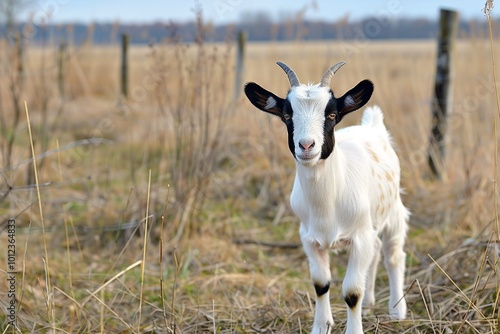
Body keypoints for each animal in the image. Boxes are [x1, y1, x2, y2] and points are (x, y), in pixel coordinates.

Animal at [243, 61, 410, 332]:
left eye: (331, 115)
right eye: (287, 116)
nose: (306, 146)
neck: (327, 204)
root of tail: (372, 126)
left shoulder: (359, 236)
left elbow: (352, 291)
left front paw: (354, 329)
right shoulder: (309, 239)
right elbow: (321, 284)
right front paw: (321, 326)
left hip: (393, 210)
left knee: (393, 255)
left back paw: (397, 310)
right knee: (375, 252)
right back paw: (370, 303)